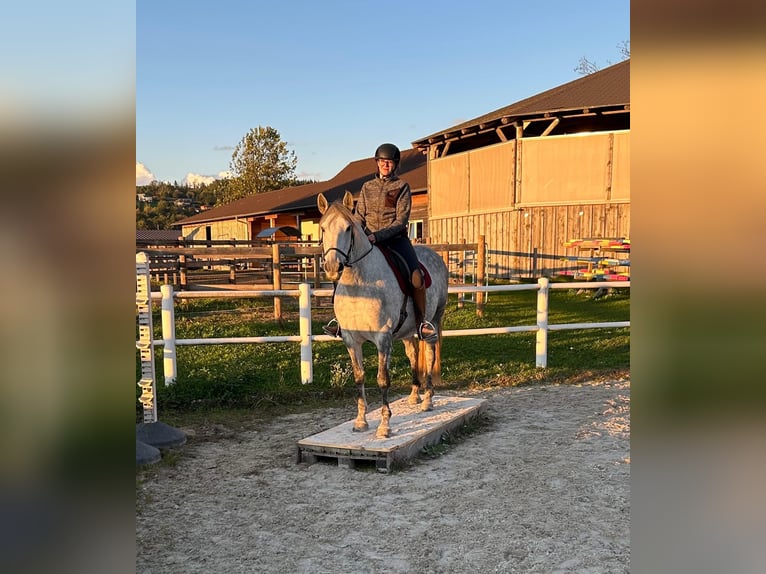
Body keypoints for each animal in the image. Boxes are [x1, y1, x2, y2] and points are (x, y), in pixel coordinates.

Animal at [318, 191, 450, 438]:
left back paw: (428, 399)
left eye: (348, 228)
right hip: (407, 331)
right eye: (322, 228)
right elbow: (359, 377)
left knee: (429, 355)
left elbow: (382, 380)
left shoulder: (383, 338)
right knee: (413, 354)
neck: (359, 286)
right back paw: (414, 396)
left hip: (434, 321)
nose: (332, 267)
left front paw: (384, 425)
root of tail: (434, 254)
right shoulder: (351, 340)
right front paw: (360, 421)